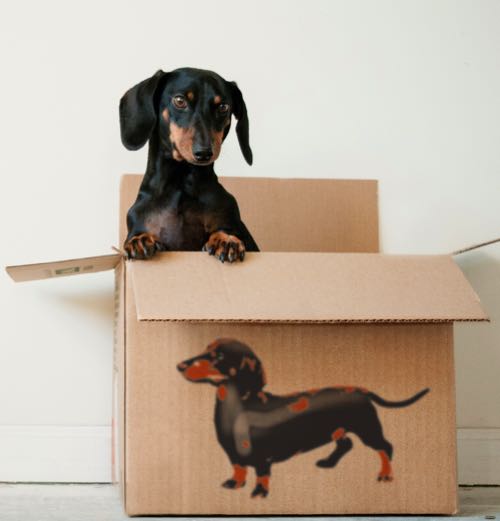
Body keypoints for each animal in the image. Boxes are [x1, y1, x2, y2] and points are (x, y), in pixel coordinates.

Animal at [117, 68, 258, 262]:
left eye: (223, 107)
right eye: (179, 100)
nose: (204, 152)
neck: (181, 183)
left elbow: (225, 230)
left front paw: (226, 239)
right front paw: (140, 240)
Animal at [177, 340, 430, 498]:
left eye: (219, 356)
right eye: (205, 348)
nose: (180, 366)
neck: (239, 409)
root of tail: (360, 390)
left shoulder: (262, 457)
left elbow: (261, 474)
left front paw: (259, 493)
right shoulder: (233, 454)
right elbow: (238, 468)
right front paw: (235, 483)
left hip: (367, 428)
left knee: (385, 447)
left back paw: (386, 474)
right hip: (337, 430)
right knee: (346, 444)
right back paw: (328, 462)